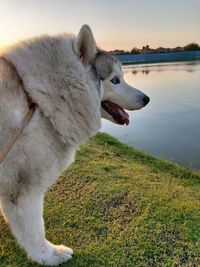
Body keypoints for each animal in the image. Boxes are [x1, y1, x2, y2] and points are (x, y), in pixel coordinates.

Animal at [0, 24, 150, 266]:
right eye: (115, 80)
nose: (146, 99)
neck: (39, 101)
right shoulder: (25, 189)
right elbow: (34, 229)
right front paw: (47, 256)